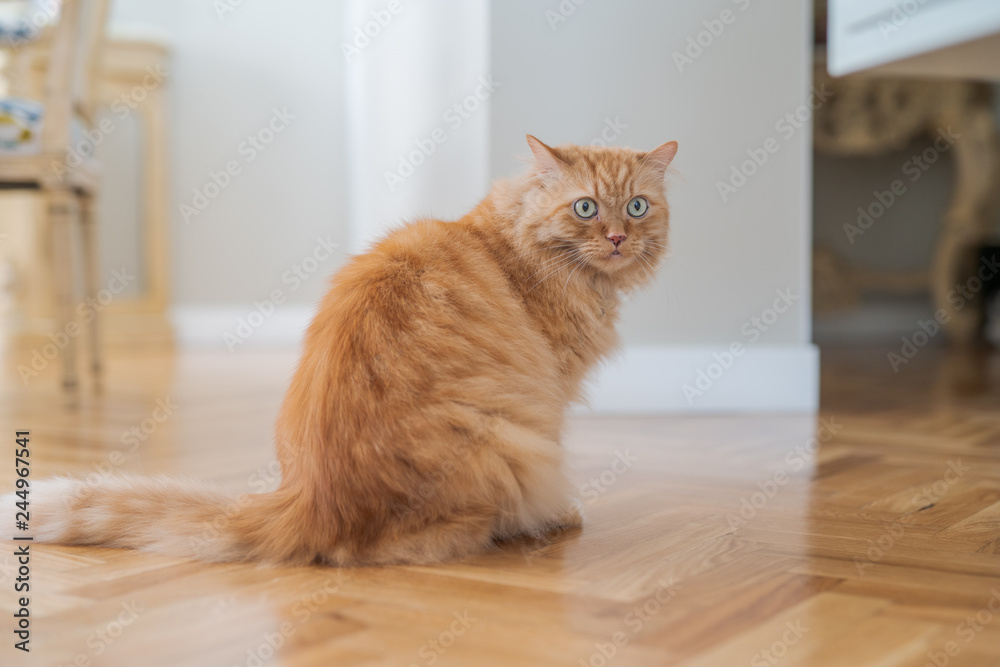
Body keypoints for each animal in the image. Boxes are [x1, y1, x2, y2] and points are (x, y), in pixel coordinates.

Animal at [19, 138, 680, 568]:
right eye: (586, 207)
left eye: (637, 206)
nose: (617, 238)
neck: (512, 245)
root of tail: (307, 502)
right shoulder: (553, 394)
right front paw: (562, 513)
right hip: (515, 437)